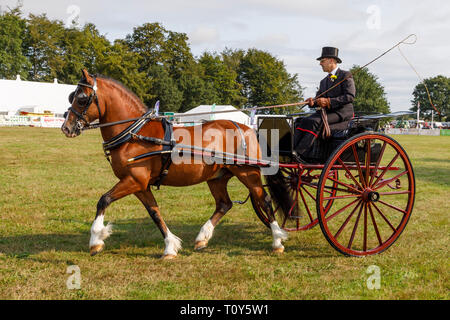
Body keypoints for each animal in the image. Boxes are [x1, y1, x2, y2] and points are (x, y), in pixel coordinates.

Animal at [62, 70, 296, 260]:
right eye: (72, 96)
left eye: (81, 98)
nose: (66, 128)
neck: (135, 134)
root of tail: (246, 128)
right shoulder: (140, 185)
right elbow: (155, 213)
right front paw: (170, 247)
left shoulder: (134, 180)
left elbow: (103, 200)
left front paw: (95, 240)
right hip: (217, 177)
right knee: (224, 204)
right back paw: (202, 237)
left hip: (248, 173)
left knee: (265, 201)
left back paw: (277, 241)